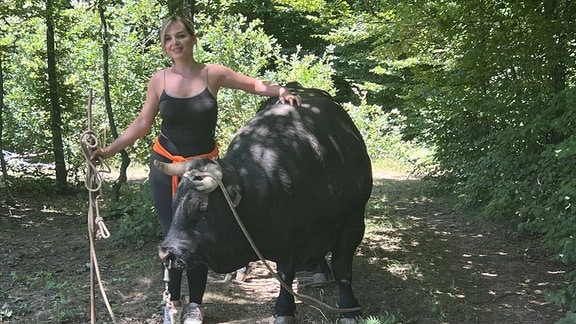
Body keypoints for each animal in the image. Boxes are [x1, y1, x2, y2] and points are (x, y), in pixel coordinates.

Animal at [155, 84, 374, 322]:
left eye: (202, 208)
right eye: (174, 205)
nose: (166, 253)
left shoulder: (353, 222)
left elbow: (343, 270)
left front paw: (350, 308)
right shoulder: (287, 238)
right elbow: (285, 275)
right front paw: (284, 309)